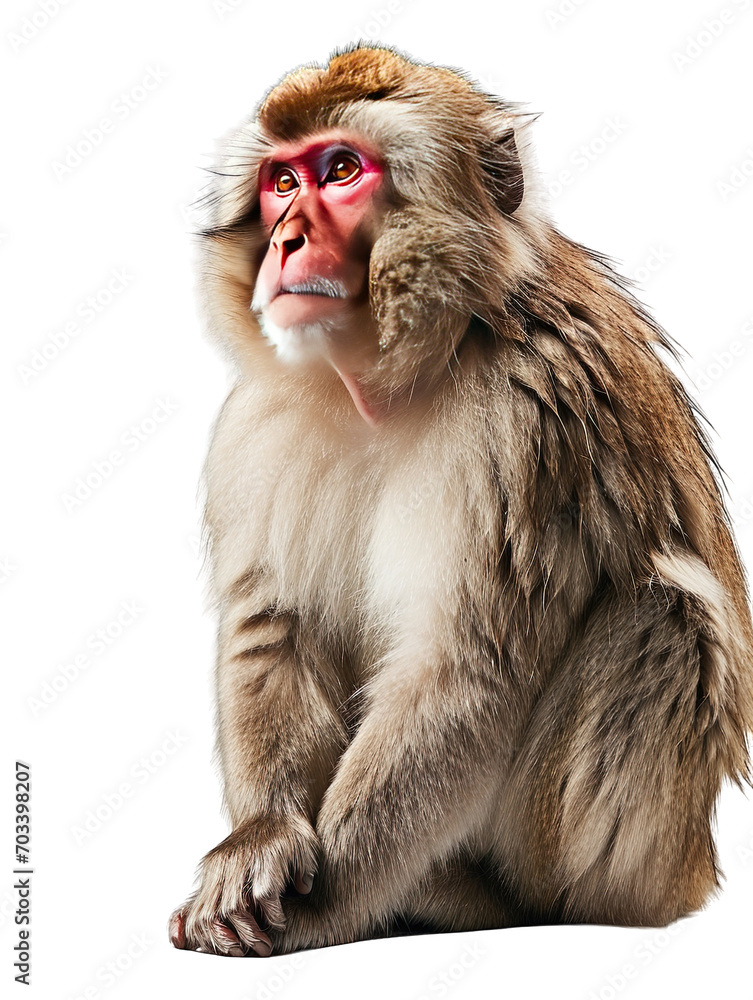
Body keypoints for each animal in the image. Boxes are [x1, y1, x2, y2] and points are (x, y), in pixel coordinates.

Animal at [168, 45, 753, 957]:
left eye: (341, 171)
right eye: (280, 181)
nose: (287, 238)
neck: (394, 378)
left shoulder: (533, 419)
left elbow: (467, 664)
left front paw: (318, 907)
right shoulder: (254, 427)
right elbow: (274, 623)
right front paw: (258, 839)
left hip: (636, 862)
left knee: (666, 616)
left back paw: (473, 897)